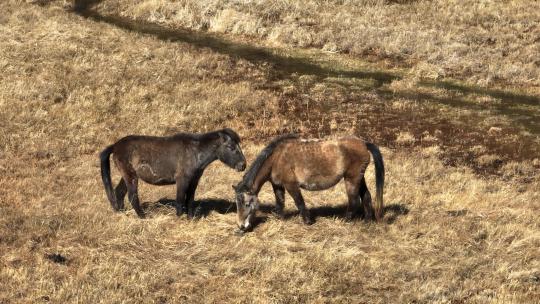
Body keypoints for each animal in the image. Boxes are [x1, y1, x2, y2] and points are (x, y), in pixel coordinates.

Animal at [99, 128, 247, 218]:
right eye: (231, 147)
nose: (243, 165)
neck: (195, 151)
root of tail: (115, 145)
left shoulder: (194, 180)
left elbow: (190, 199)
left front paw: (190, 217)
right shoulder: (182, 180)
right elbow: (180, 199)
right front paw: (179, 217)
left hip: (128, 176)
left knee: (119, 192)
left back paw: (120, 212)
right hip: (131, 176)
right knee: (132, 196)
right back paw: (143, 217)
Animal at [232, 134, 384, 232]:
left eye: (247, 204)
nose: (241, 226)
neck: (276, 158)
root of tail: (364, 143)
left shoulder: (291, 185)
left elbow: (299, 202)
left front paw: (307, 221)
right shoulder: (278, 185)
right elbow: (280, 202)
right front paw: (279, 218)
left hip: (351, 179)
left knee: (353, 200)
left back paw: (345, 220)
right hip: (359, 177)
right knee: (366, 196)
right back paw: (367, 221)